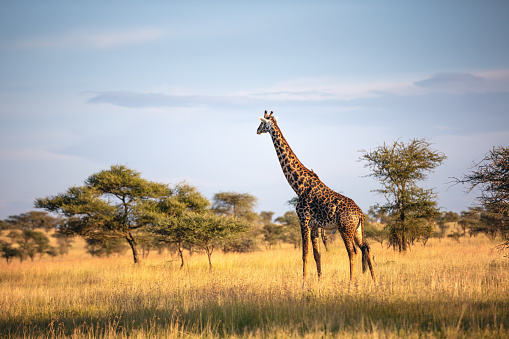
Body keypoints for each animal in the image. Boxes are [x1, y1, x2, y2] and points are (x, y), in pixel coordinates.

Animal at [258, 110, 374, 282]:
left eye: (262, 122)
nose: (257, 130)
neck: (299, 186)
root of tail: (360, 214)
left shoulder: (304, 221)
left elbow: (304, 254)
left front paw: (304, 282)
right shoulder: (314, 226)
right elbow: (317, 254)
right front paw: (319, 281)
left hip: (345, 229)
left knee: (352, 252)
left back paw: (351, 282)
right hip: (357, 230)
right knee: (367, 247)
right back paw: (375, 281)